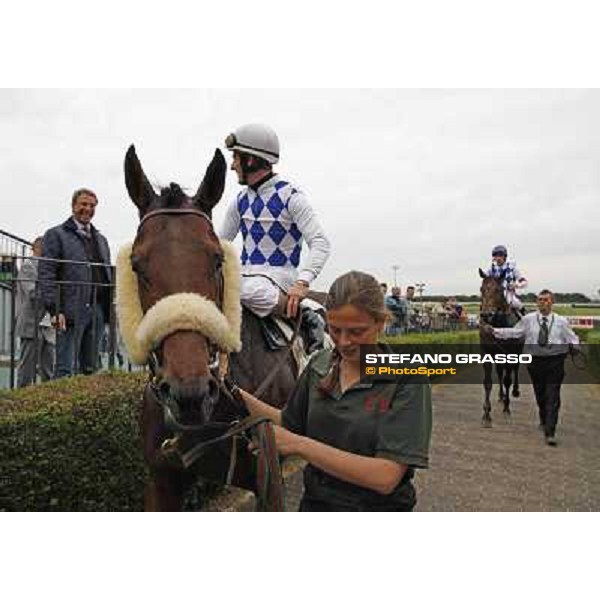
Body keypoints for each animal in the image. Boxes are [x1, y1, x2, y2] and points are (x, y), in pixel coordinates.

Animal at [480, 268, 524, 426]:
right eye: (481, 289)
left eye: (499, 290)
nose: (486, 315)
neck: (499, 323)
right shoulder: (486, 352)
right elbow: (488, 382)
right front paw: (486, 414)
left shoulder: (510, 354)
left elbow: (507, 380)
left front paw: (507, 408)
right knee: (500, 373)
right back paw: (501, 396)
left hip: (517, 353)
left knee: (514, 370)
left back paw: (514, 392)